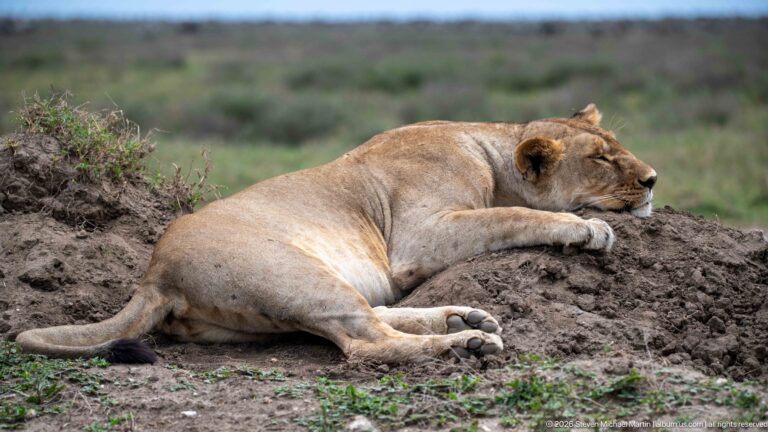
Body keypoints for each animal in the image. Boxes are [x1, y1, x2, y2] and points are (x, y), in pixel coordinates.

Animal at [17, 103, 656, 363]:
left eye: (618, 147)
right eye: (601, 159)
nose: (652, 179)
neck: (490, 150)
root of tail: (152, 274)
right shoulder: (420, 239)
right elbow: (514, 217)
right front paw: (587, 228)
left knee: (371, 317)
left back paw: (463, 318)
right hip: (294, 271)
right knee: (366, 342)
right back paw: (464, 343)